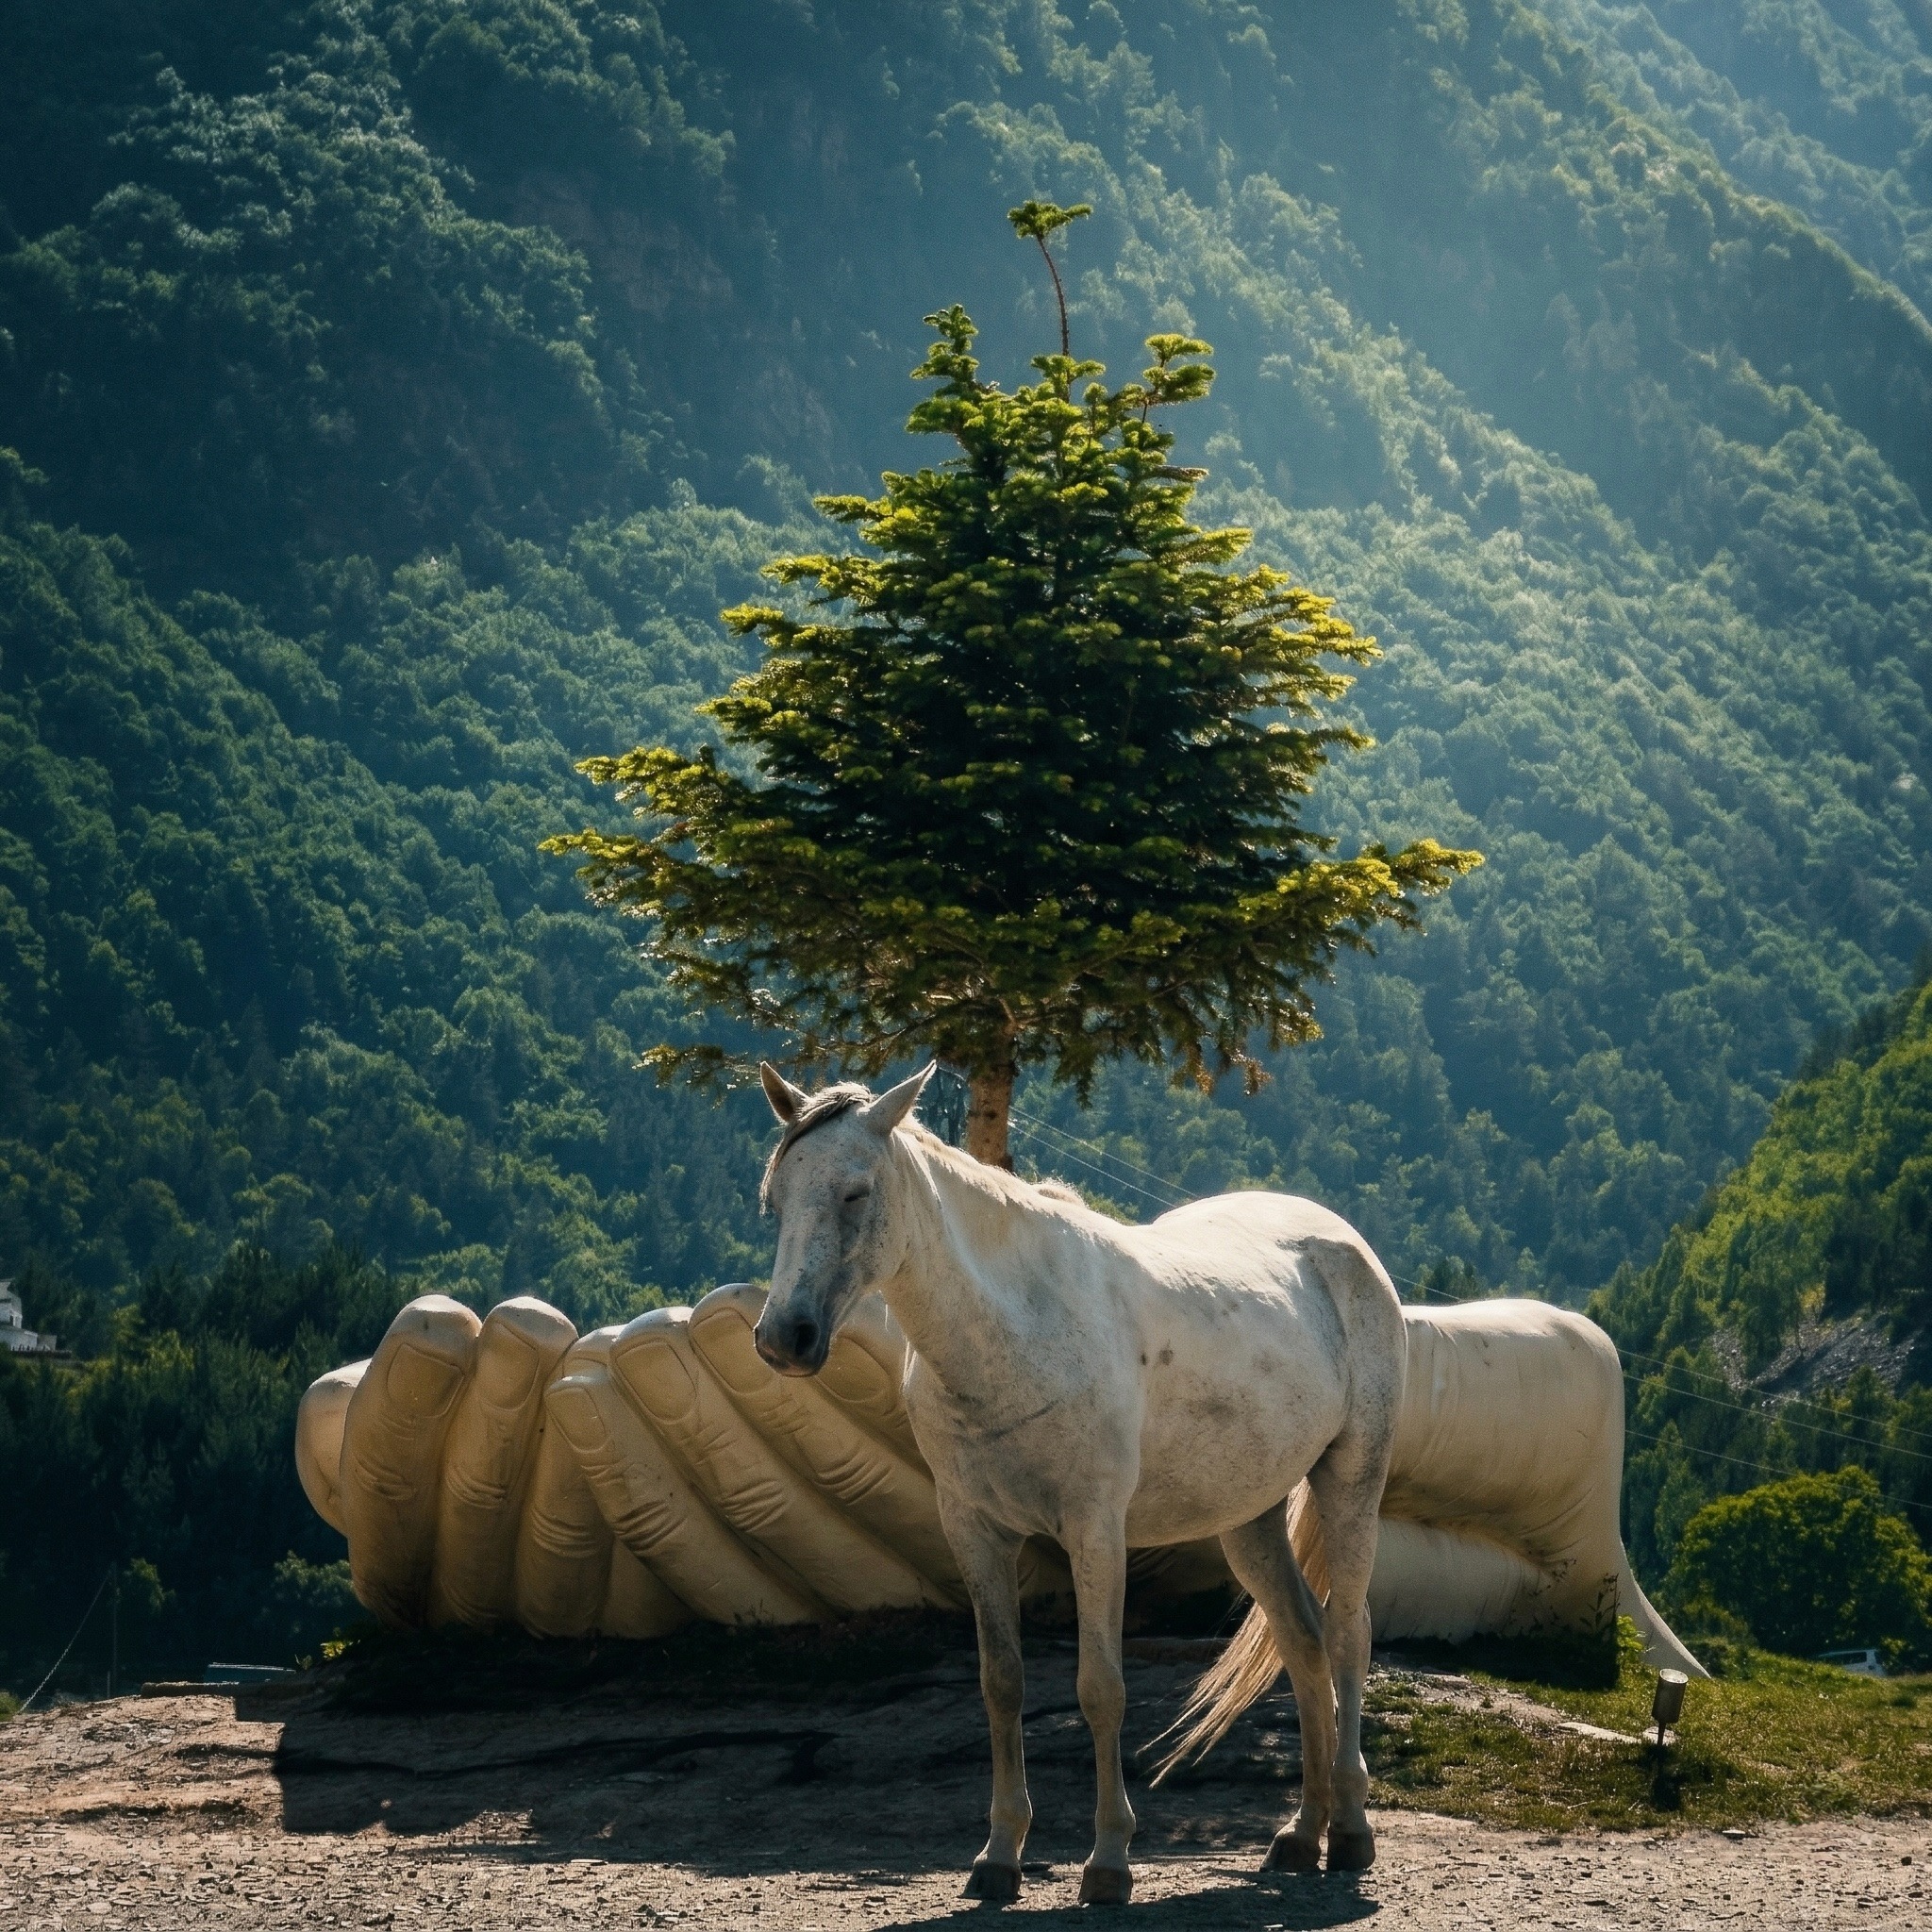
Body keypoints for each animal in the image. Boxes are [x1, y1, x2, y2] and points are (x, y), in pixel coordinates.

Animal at [750, 1063, 1408, 1900]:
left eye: (856, 1193)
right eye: (775, 1200)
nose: (784, 1338)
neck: (1017, 1327)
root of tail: (1342, 1245)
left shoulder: (1094, 1530)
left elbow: (1101, 1689)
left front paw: (1109, 1861)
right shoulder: (974, 1530)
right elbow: (1002, 1683)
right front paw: (999, 1856)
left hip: (1351, 1479)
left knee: (1350, 1633)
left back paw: (1350, 1832)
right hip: (1248, 1516)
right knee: (1303, 1639)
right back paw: (1300, 1834)